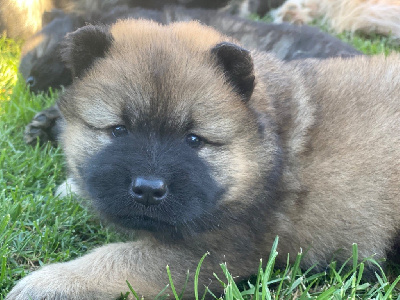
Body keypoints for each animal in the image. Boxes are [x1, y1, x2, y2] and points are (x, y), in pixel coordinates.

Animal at [5, 19, 400, 300]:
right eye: (118, 130)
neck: (266, 151)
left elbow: (115, 259)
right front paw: (71, 187)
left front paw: (48, 283)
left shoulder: (208, 252)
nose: (148, 189)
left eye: (194, 140)